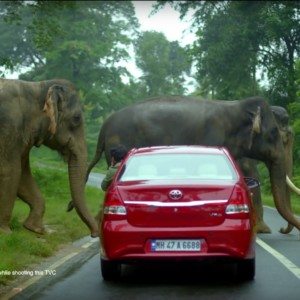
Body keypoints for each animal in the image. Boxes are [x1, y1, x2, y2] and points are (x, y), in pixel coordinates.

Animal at [0, 78, 97, 238]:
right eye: (76, 118)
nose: (95, 234)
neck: (36, 87)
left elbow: (22, 175)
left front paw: (35, 229)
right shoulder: (9, 126)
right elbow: (11, 171)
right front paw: (5, 233)